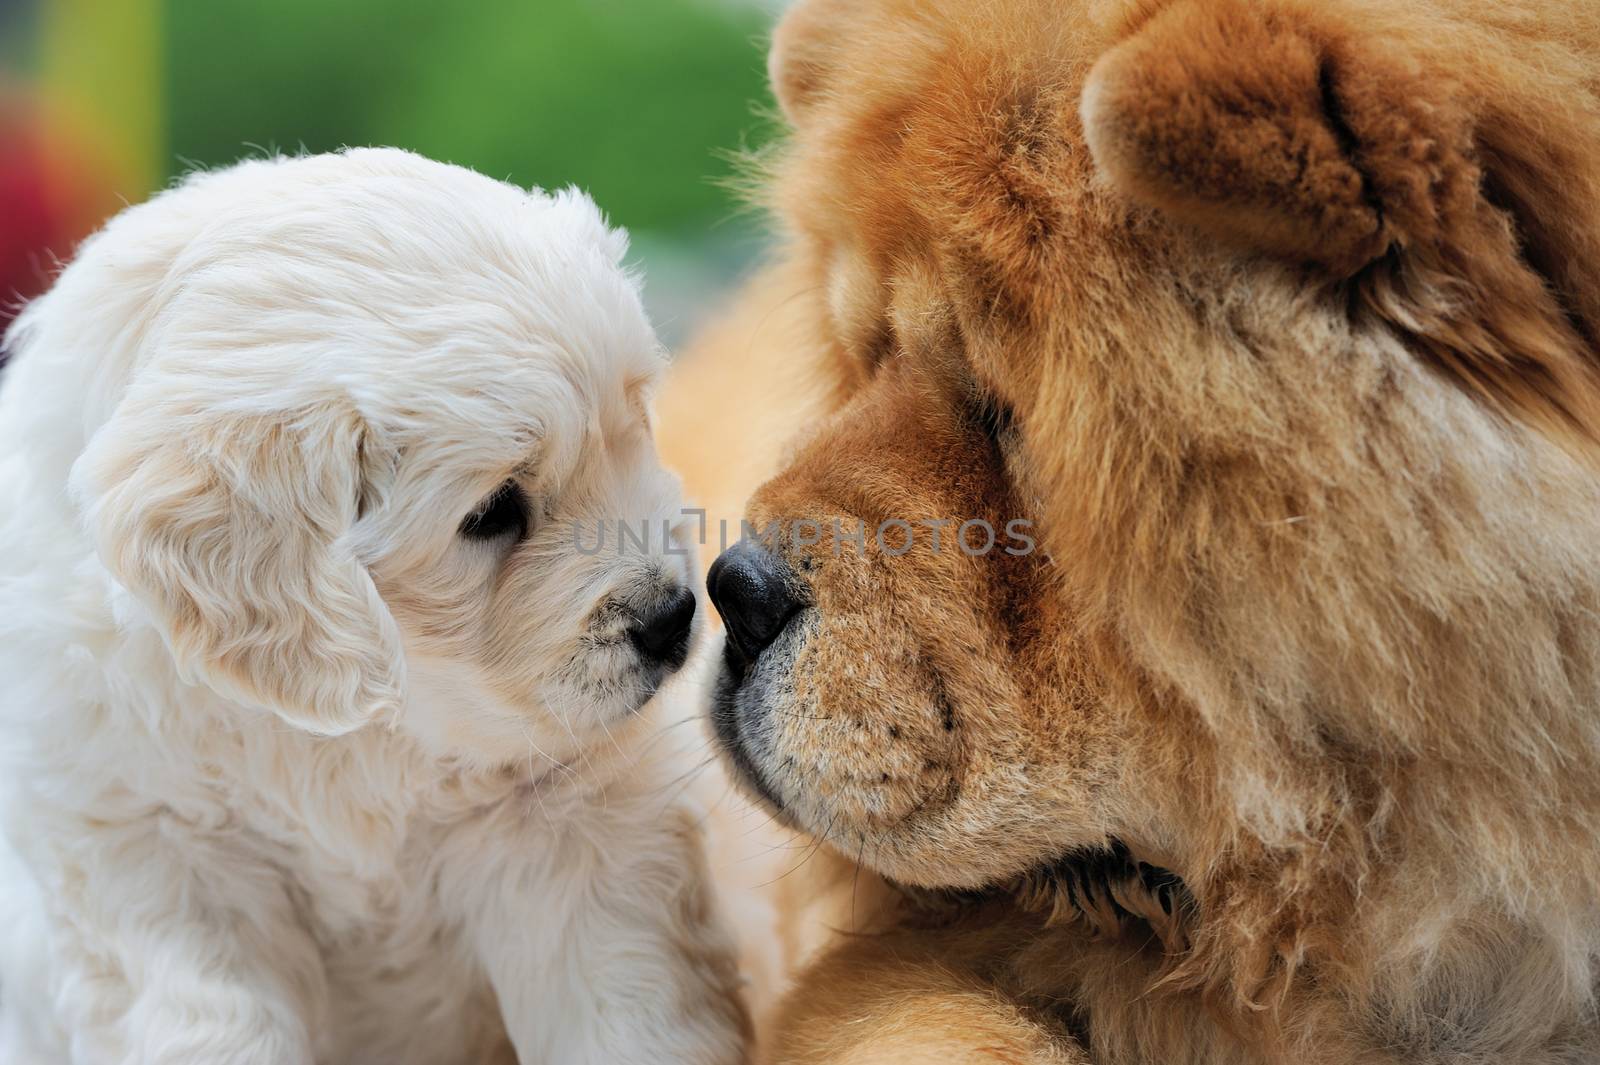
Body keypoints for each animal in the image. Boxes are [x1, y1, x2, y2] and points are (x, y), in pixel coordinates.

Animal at [0, 149, 748, 1061]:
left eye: (632, 425)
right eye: (493, 511)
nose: (672, 615)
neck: (363, 731)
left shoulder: (571, 832)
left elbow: (623, 1008)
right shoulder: (160, 856)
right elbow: (212, 1024)